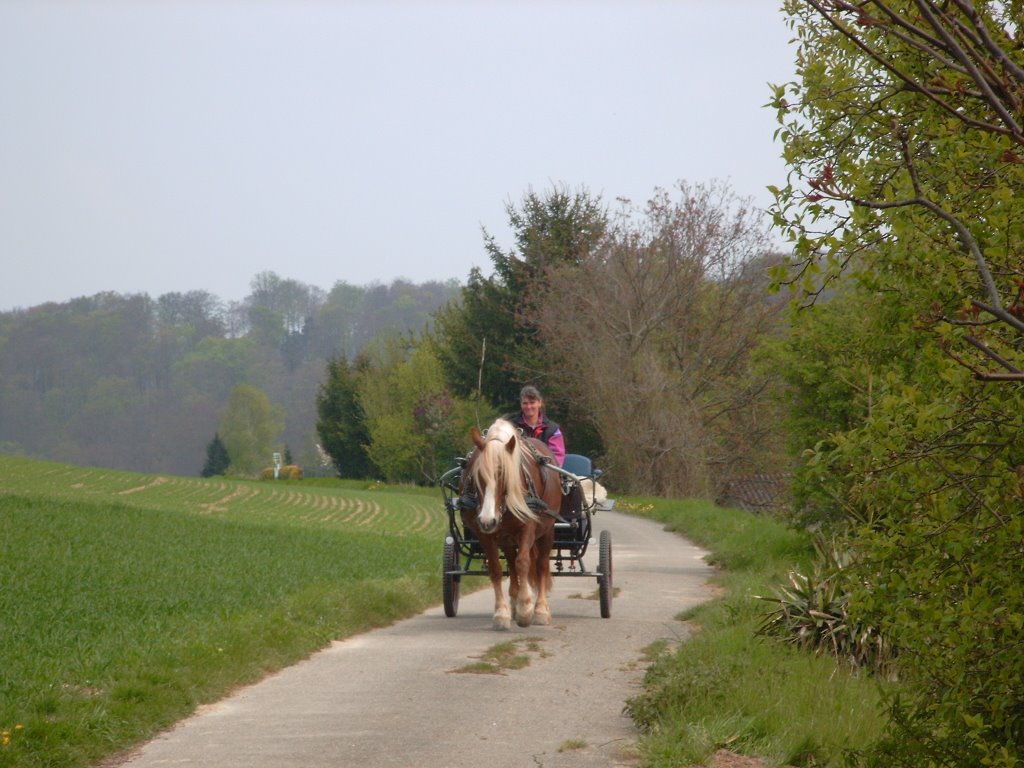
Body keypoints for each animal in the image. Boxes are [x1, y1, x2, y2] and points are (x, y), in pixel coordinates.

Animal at [462, 421, 565, 630]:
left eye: (503, 475)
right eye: (477, 476)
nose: (487, 520)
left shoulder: (528, 527)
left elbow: (523, 563)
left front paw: (526, 609)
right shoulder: (485, 534)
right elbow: (496, 569)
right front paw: (502, 613)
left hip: (547, 531)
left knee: (541, 565)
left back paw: (540, 609)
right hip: (506, 538)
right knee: (511, 562)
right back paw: (514, 603)